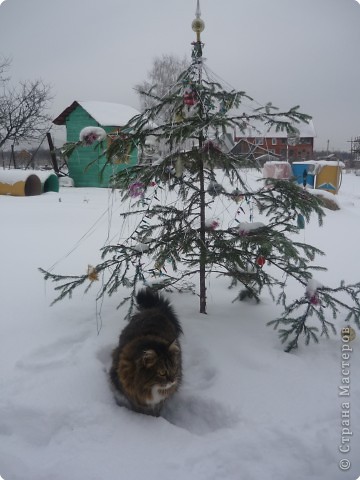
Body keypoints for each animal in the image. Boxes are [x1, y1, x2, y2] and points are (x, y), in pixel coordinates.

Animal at [109, 288, 183, 416]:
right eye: (162, 372)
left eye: (174, 368)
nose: (173, 380)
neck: (151, 387)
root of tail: (154, 309)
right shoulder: (131, 393)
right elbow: (137, 408)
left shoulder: (161, 400)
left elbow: (157, 409)